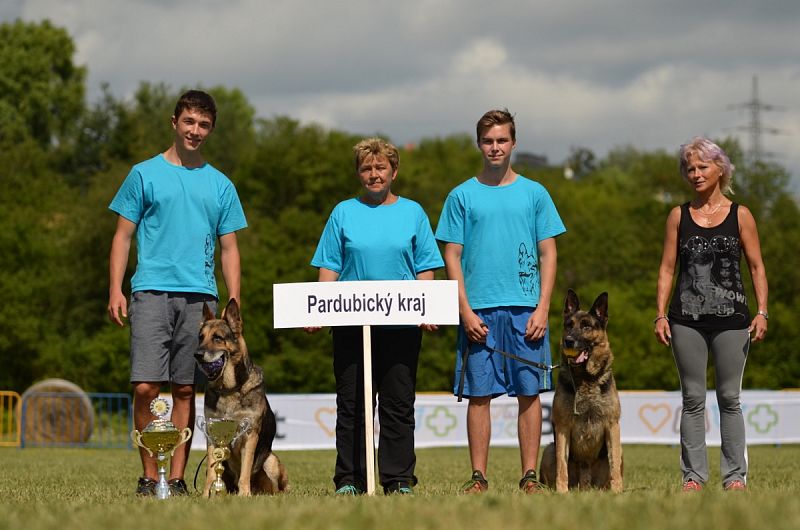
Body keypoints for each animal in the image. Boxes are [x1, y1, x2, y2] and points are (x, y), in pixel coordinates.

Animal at [195, 302, 290, 496]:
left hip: (271, 460)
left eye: (217, 338)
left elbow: (245, 470)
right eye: (201, 338)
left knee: (278, 486)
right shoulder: (212, 434)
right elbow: (211, 470)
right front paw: (207, 495)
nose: (197, 355)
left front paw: (244, 494)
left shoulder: (249, 434)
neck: (229, 389)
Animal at [540, 288, 620, 490]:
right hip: (549, 449)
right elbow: (562, 466)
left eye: (586, 327)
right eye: (569, 325)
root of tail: (586, 484)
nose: (568, 341)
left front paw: (618, 492)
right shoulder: (563, 428)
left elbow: (615, 466)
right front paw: (561, 492)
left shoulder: (612, 425)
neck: (586, 378)